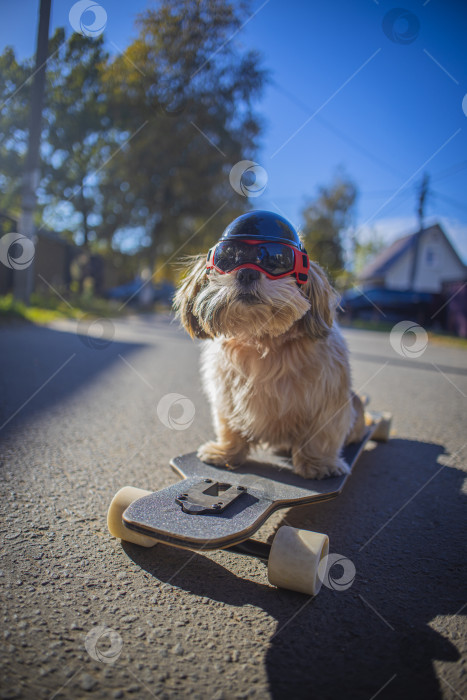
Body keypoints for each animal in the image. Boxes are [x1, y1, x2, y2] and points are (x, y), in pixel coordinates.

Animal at [174, 211, 368, 478]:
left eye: (277, 260)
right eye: (228, 257)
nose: (247, 272)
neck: (261, 339)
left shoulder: (329, 400)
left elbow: (322, 433)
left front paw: (318, 463)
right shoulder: (226, 396)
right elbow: (229, 425)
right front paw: (226, 453)